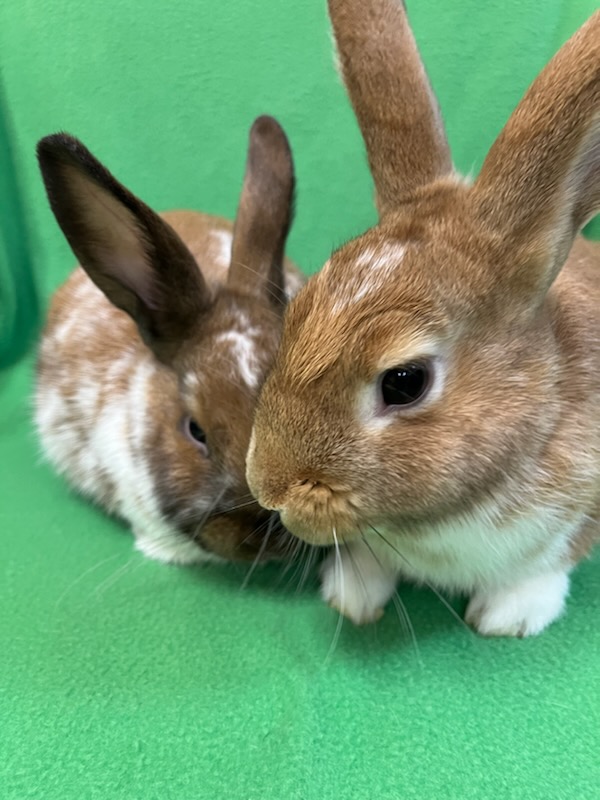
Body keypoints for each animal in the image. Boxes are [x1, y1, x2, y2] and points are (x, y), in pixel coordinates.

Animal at [246, 1, 600, 637]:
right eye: (297, 313)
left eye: (404, 382)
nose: (269, 488)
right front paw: (352, 599)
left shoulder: (578, 515)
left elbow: (547, 566)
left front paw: (506, 619)